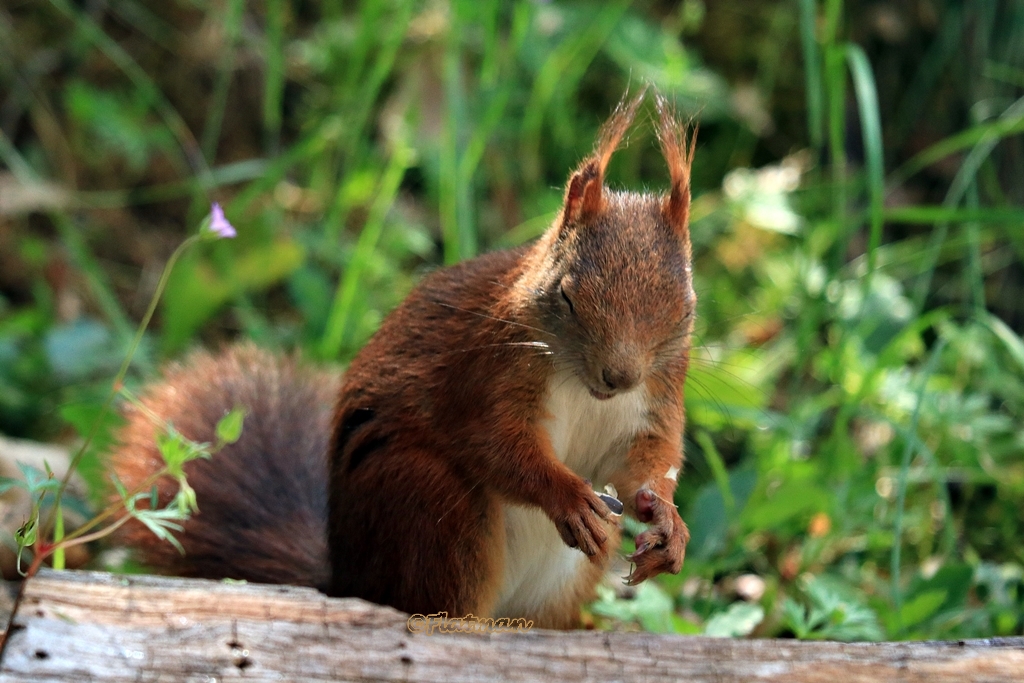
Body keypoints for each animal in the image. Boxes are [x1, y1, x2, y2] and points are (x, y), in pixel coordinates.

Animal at [114, 90, 704, 630]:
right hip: (428, 503)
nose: (619, 376)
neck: (584, 388)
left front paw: (668, 521)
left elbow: (645, 462)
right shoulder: (485, 371)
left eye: (685, 309)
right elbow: (497, 444)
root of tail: (348, 579)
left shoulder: (656, 398)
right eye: (567, 296)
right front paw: (568, 497)